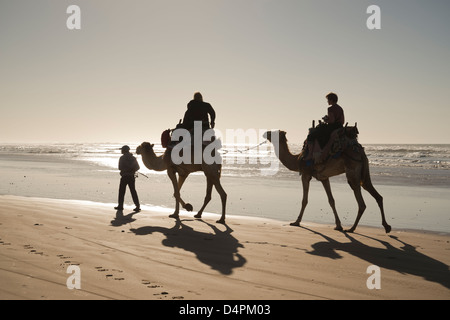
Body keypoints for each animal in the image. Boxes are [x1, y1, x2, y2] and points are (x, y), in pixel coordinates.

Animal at [262, 129, 392, 232]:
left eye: (273, 132)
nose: (265, 133)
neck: (297, 158)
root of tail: (361, 152)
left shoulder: (306, 174)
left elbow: (304, 200)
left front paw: (296, 222)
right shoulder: (324, 178)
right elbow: (331, 200)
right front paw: (338, 225)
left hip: (352, 172)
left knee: (362, 203)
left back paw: (352, 228)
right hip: (364, 173)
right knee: (377, 195)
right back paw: (386, 226)